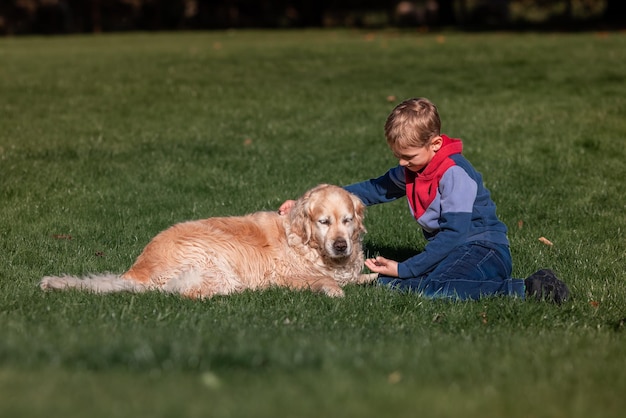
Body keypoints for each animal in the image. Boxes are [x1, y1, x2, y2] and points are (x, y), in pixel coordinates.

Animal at [41, 185, 372, 298]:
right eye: (323, 222)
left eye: (347, 220)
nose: (341, 246)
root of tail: (136, 271)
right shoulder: (287, 273)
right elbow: (322, 281)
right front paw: (334, 289)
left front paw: (368, 276)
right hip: (216, 257)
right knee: (188, 293)